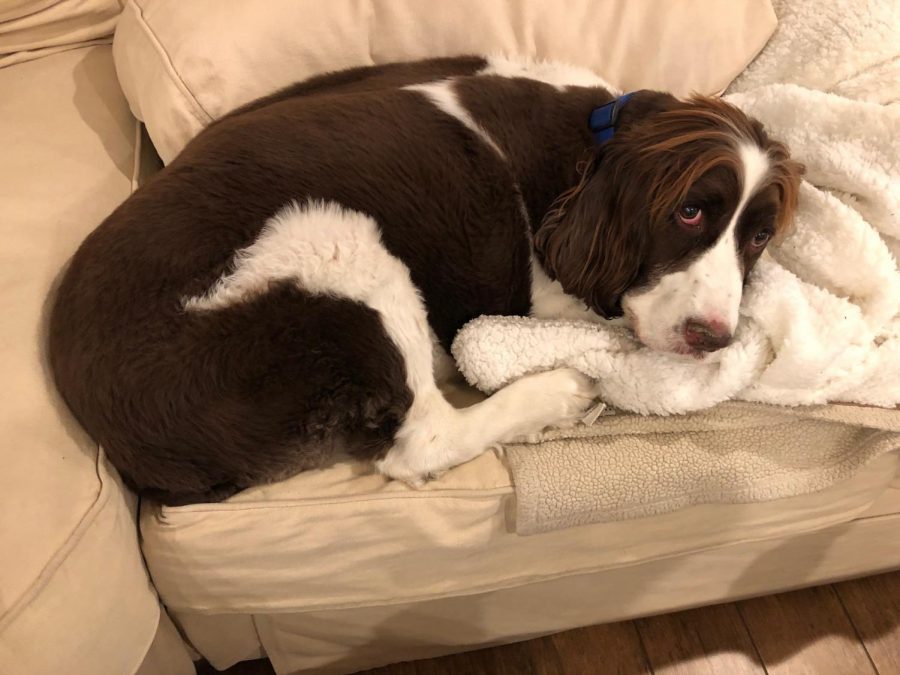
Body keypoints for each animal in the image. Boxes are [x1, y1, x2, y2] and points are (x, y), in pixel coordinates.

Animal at [49, 56, 804, 502]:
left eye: (759, 236)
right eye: (688, 212)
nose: (712, 337)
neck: (592, 147)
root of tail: (123, 436)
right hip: (328, 239)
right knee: (420, 443)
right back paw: (558, 393)